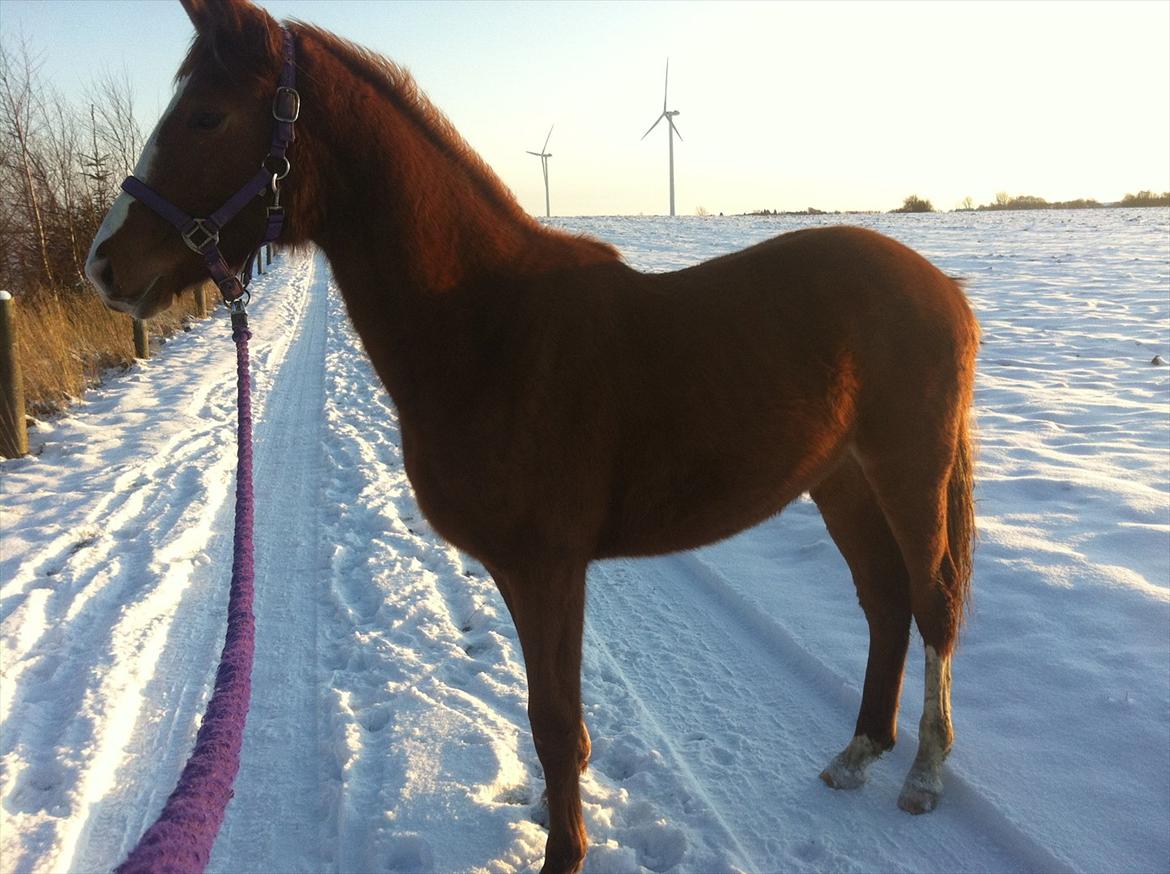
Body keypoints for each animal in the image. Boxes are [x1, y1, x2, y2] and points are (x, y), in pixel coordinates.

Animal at [84, 3, 978, 870]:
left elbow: (554, 724)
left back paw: (926, 773)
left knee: (933, 598)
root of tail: (943, 288)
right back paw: (859, 752)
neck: (490, 325)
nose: (103, 266)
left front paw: (565, 852)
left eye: (206, 116)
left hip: (907, 468)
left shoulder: (551, 569)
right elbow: (548, 722)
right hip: (840, 478)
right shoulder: (518, 571)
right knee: (885, 598)